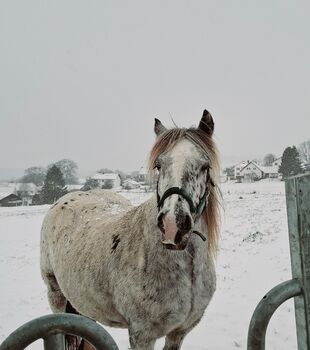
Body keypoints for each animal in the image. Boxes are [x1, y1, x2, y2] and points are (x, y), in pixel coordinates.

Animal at [40, 110, 220, 350]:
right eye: (158, 165)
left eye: (205, 166)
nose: (173, 225)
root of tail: (65, 199)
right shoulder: (142, 335)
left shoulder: (178, 333)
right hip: (56, 295)